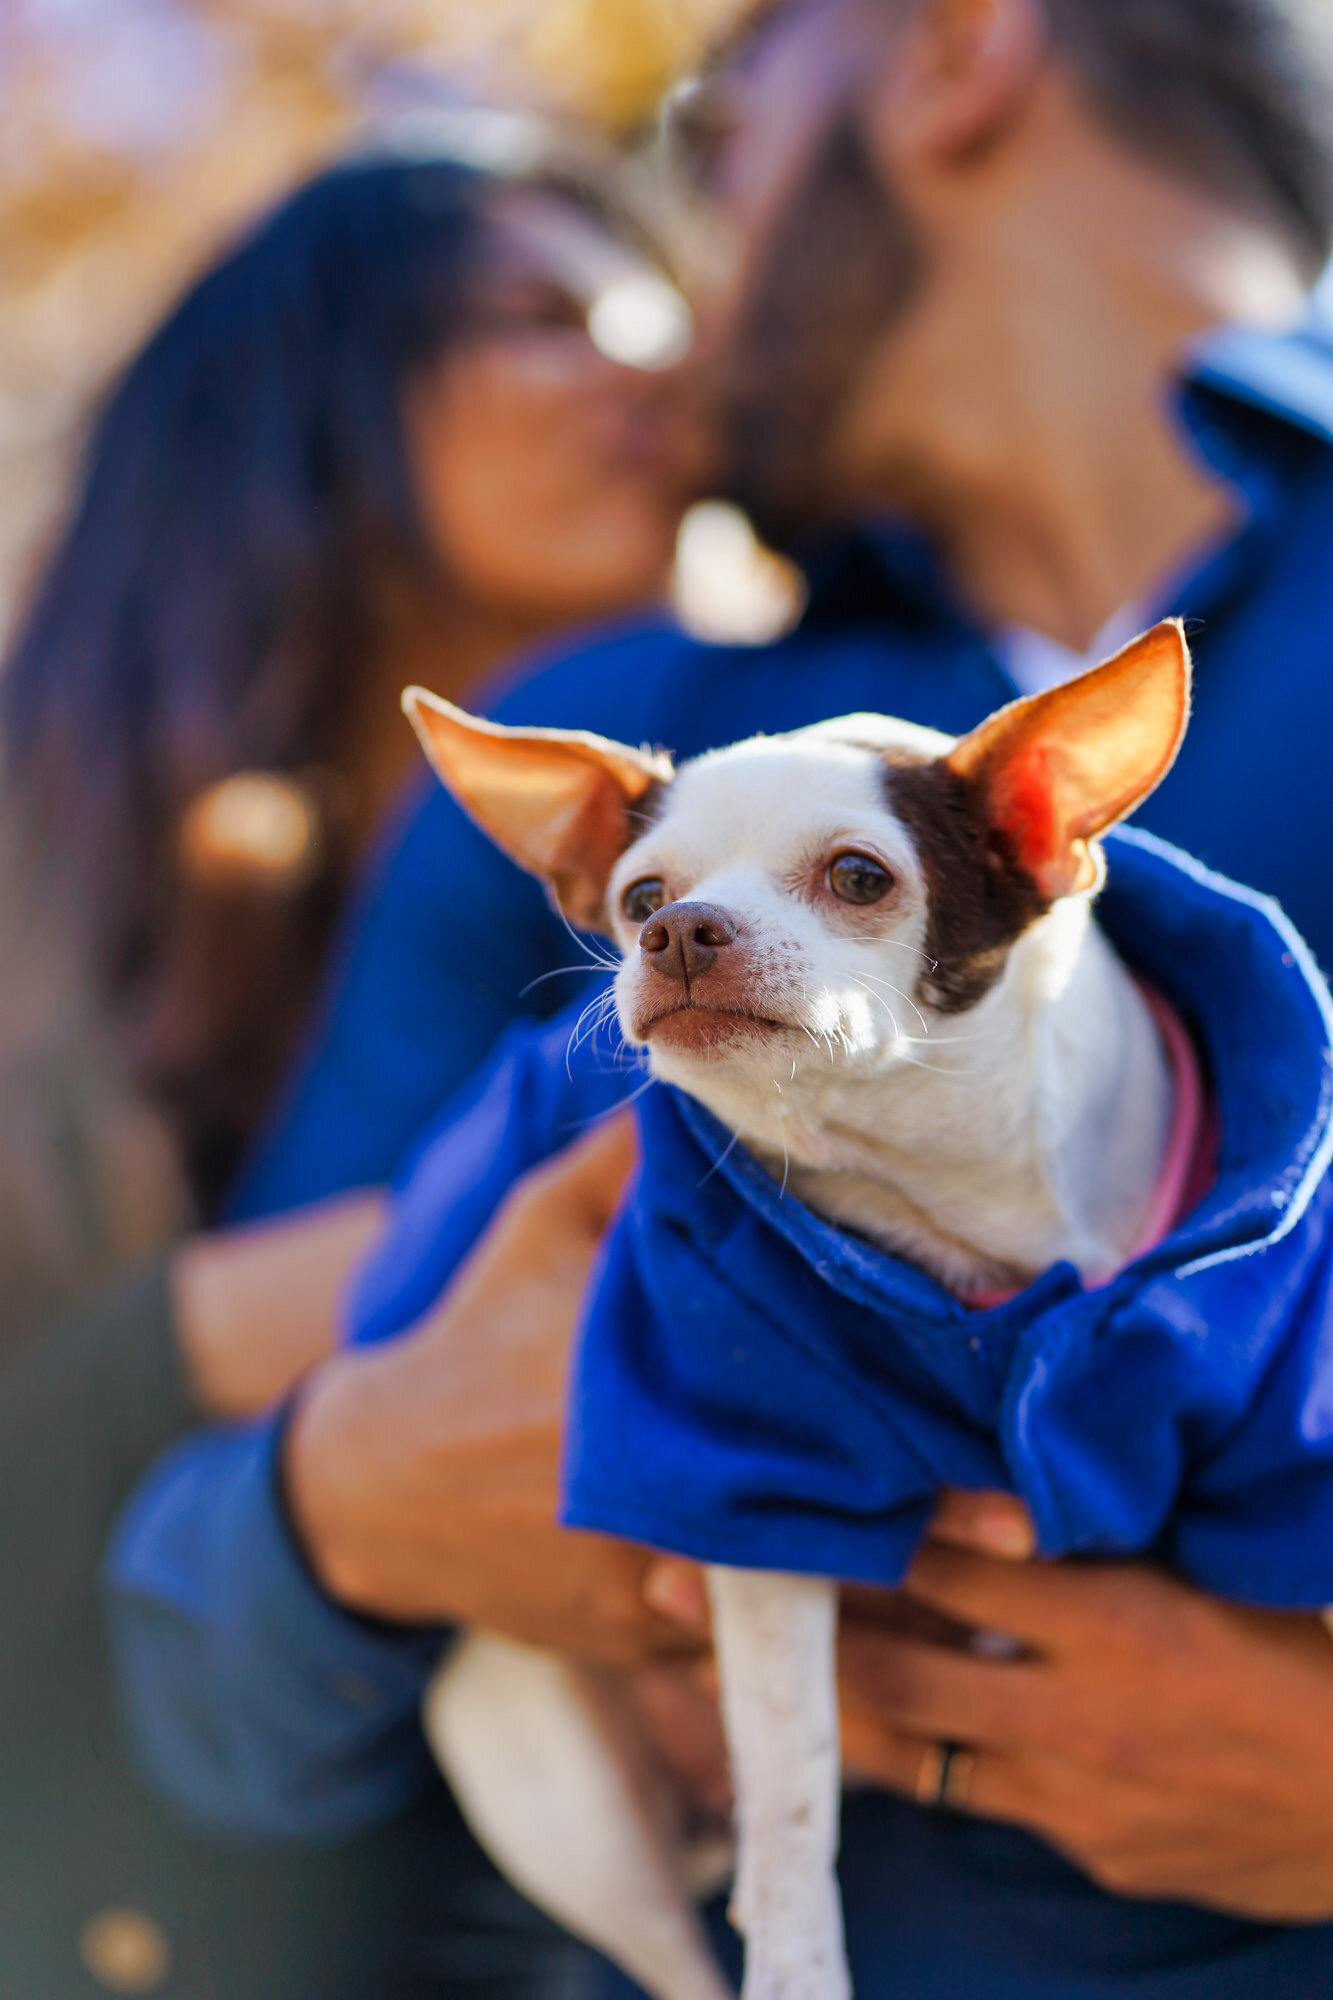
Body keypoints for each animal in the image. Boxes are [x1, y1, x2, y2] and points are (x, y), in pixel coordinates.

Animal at [402, 620, 1184, 2000]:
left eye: (860, 876)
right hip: (558, 1786)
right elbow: (792, 1782)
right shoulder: (759, 1490)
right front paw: (801, 1958)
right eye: (638, 898)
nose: (680, 931)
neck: (947, 1212)